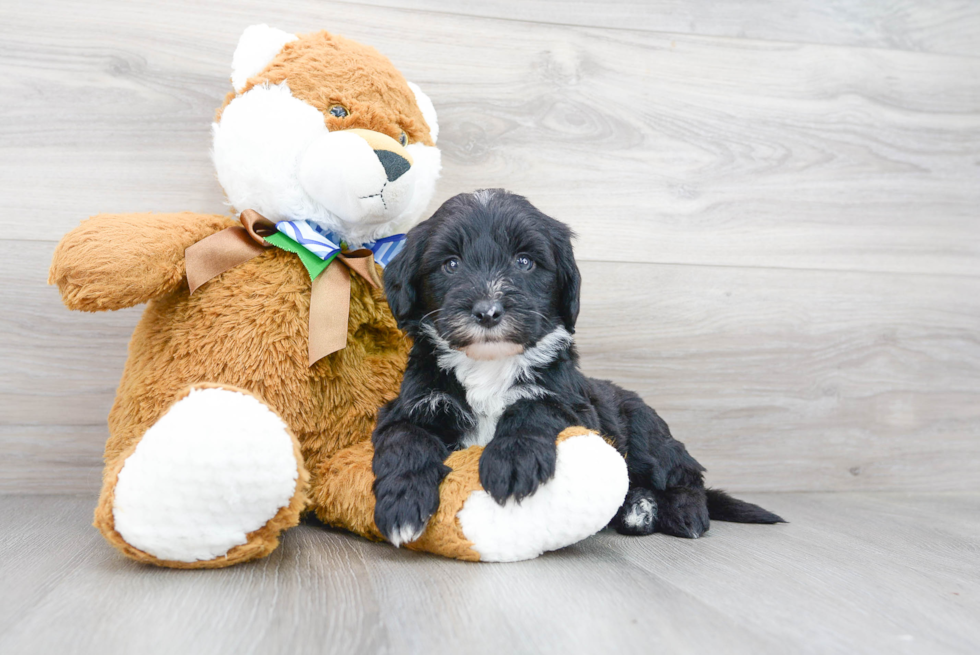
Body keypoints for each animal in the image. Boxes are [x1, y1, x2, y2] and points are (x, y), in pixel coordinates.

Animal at [372, 191, 784, 548]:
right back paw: (637, 507)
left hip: (645, 431)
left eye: (524, 261)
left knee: (685, 474)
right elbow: (406, 439)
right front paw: (402, 502)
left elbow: (535, 406)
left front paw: (512, 461)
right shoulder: (412, 405)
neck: (491, 366)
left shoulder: (576, 406)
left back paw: (682, 513)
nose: (488, 312)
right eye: (451, 264)